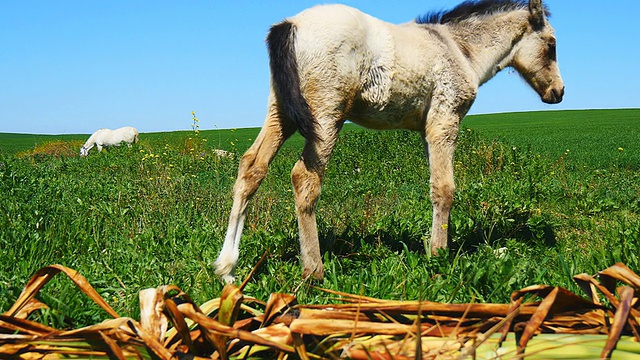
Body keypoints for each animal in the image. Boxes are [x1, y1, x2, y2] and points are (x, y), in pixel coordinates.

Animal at [216, 0, 564, 284]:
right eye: (552, 45)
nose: (558, 93)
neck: (458, 49)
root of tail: (291, 24)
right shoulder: (444, 122)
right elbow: (445, 189)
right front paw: (438, 256)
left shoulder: (426, 131)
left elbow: (434, 186)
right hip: (325, 116)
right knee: (304, 177)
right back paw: (313, 270)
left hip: (281, 113)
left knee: (252, 168)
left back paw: (227, 268)